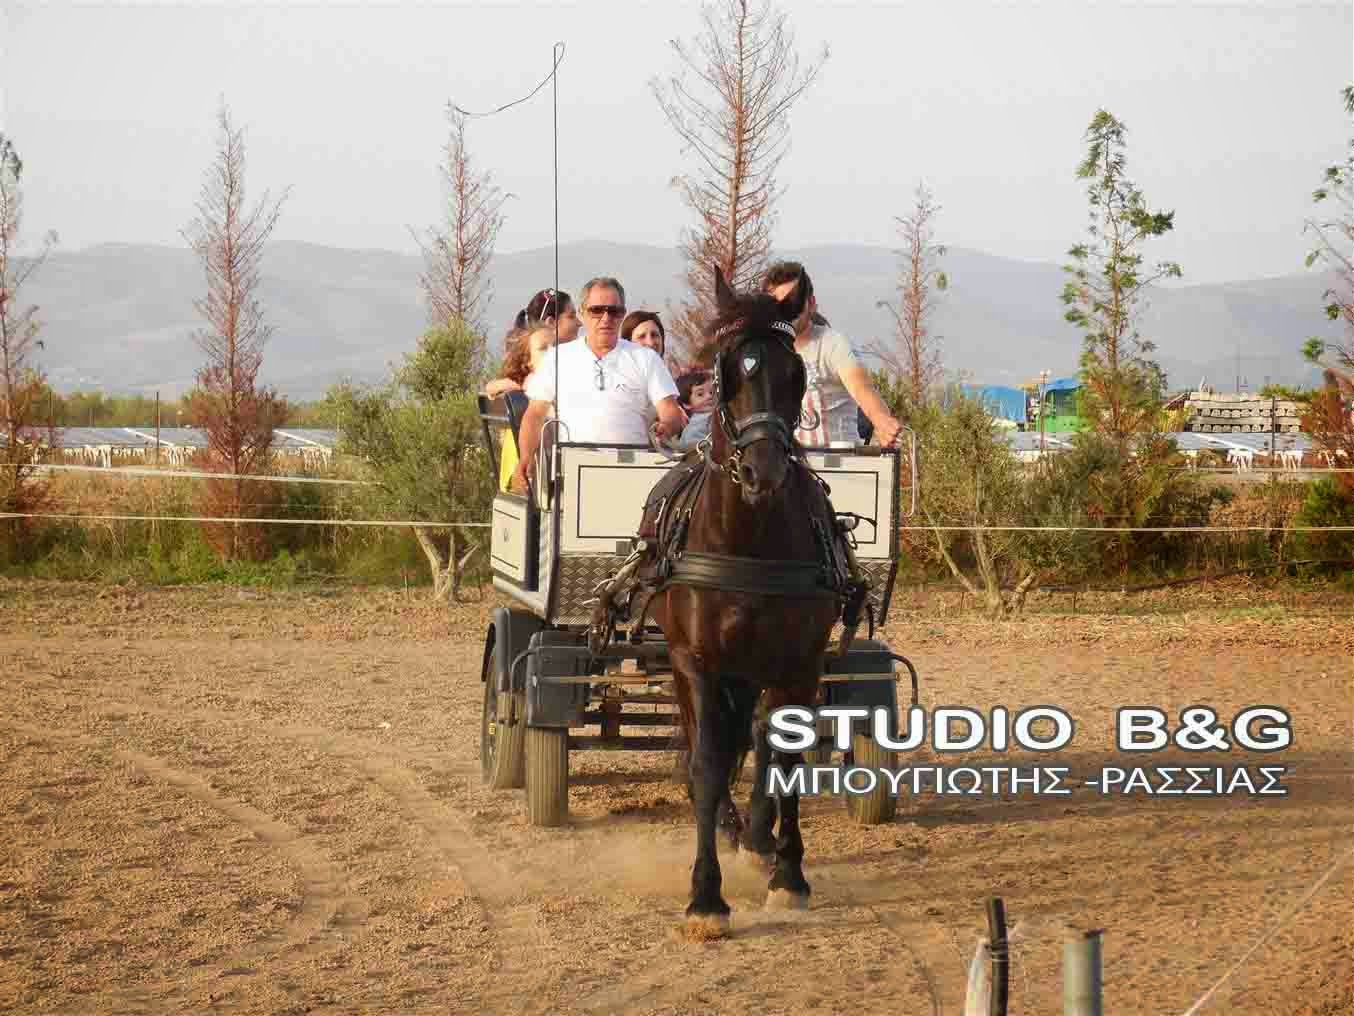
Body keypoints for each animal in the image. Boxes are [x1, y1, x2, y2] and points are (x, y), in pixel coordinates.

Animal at [644, 268, 855, 937]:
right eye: (727, 372)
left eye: (796, 374)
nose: (765, 470)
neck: (749, 538)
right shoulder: (697, 663)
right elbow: (709, 764)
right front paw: (705, 896)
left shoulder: (800, 662)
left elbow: (785, 756)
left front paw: (788, 874)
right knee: (708, 746)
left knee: (761, 736)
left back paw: (759, 839)